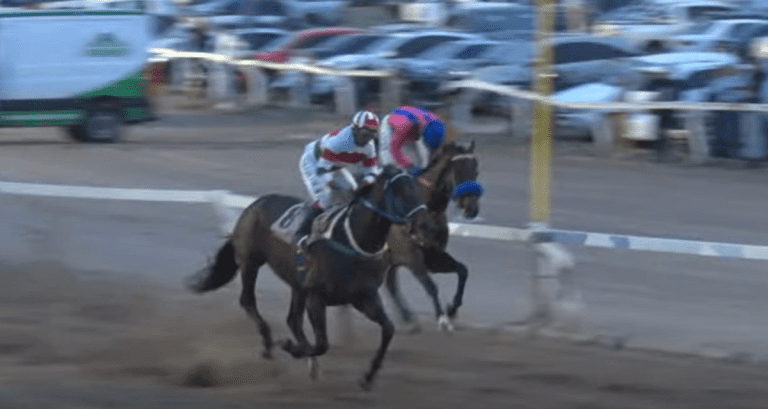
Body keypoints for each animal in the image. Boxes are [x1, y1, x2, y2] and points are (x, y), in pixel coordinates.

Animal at [184, 163, 428, 388]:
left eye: (415, 188)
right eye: (399, 190)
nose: (422, 223)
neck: (352, 240)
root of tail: (255, 204)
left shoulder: (362, 296)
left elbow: (388, 329)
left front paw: (368, 376)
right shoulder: (316, 296)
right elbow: (322, 344)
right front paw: (290, 347)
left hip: (296, 284)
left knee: (292, 319)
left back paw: (309, 363)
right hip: (250, 262)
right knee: (248, 301)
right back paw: (269, 345)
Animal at [384, 140, 480, 332]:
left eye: (476, 170)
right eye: (459, 171)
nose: (472, 209)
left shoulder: (433, 255)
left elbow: (463, 270)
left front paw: (452, 309)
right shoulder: (410, 257)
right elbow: (431, 286)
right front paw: (442, 318)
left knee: (390, 284)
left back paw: (408, 318)